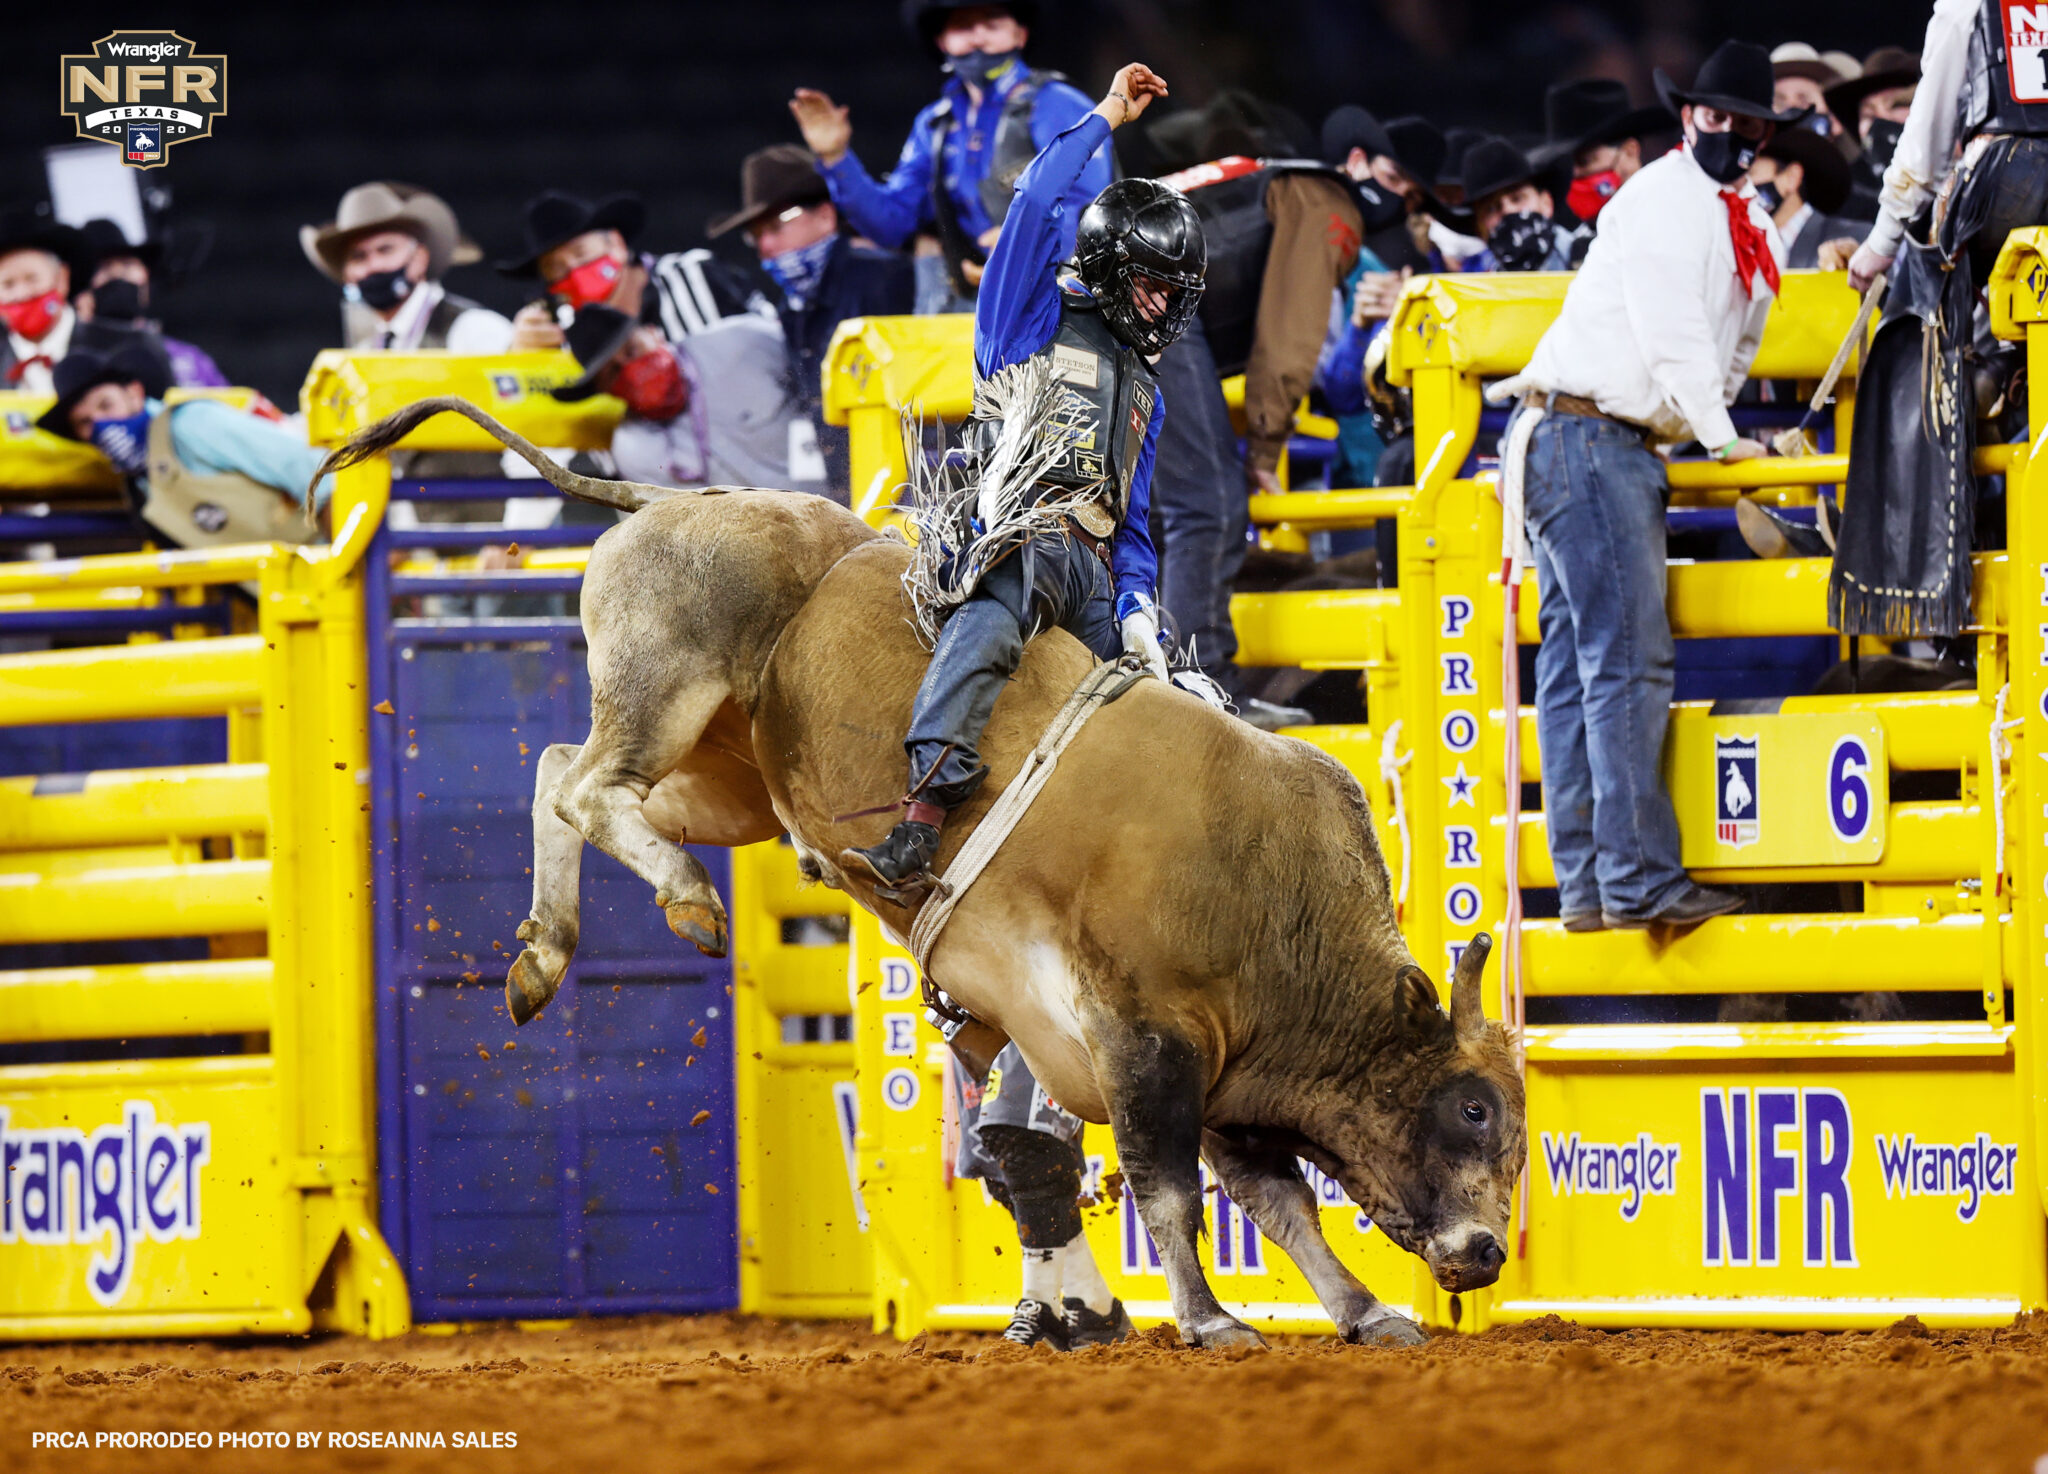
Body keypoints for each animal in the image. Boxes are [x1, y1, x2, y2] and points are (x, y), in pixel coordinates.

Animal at [311, 395, 1523, 1351]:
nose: (1486, 1252)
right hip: (669, 684)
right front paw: (1212, 1319)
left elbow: (1280, 1204)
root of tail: (678, 501)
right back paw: (688, 904)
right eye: (1471, 1109)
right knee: (589, 783)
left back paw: (542, 957)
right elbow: (1174, 1192)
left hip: (729, 778)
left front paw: (1366, 1311)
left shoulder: (1233, 1079)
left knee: (558, 772)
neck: (1270, 900)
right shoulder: (1146, 1041)